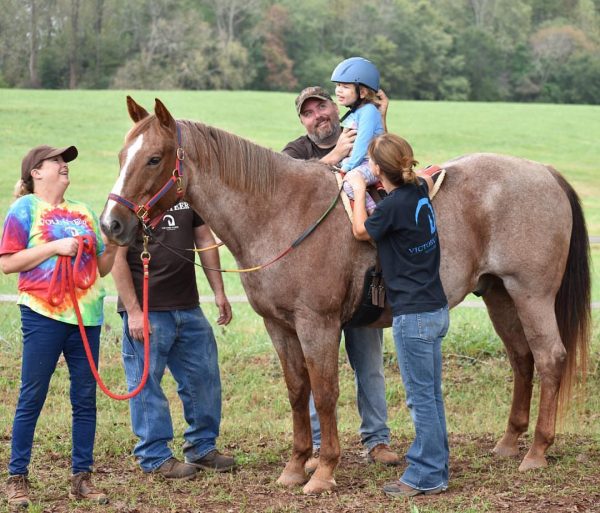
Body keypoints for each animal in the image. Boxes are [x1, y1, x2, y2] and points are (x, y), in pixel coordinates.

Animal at [98, 96, 592, 492]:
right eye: (122, 155)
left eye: (154, 158)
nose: (111, 225)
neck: (281, 211)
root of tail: (544, 173)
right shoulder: (279, 326)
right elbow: (298, 392)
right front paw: (296, 466)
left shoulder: (317, 325)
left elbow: (325, 394)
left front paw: (322, 472)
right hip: (499, 295)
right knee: (522, 359)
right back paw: (509, 443)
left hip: (531, 294)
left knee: (549, 358)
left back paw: (537, 451)